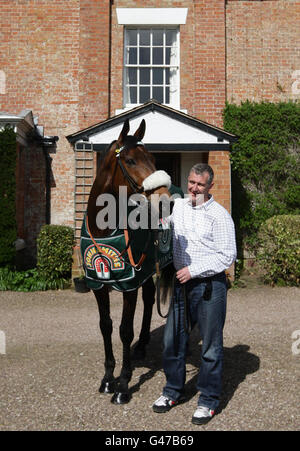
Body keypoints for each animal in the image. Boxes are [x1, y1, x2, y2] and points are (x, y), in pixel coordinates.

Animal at [83, 118, 171, 404]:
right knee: (150, 296)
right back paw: (142, 345)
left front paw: (123, 384)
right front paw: (108, 379)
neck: (103, 227)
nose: (164, 201)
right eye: (130, 160)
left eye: (153, 158)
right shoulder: (98, 285)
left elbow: (124, 329)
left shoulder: (128, 285)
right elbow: (106, 326)